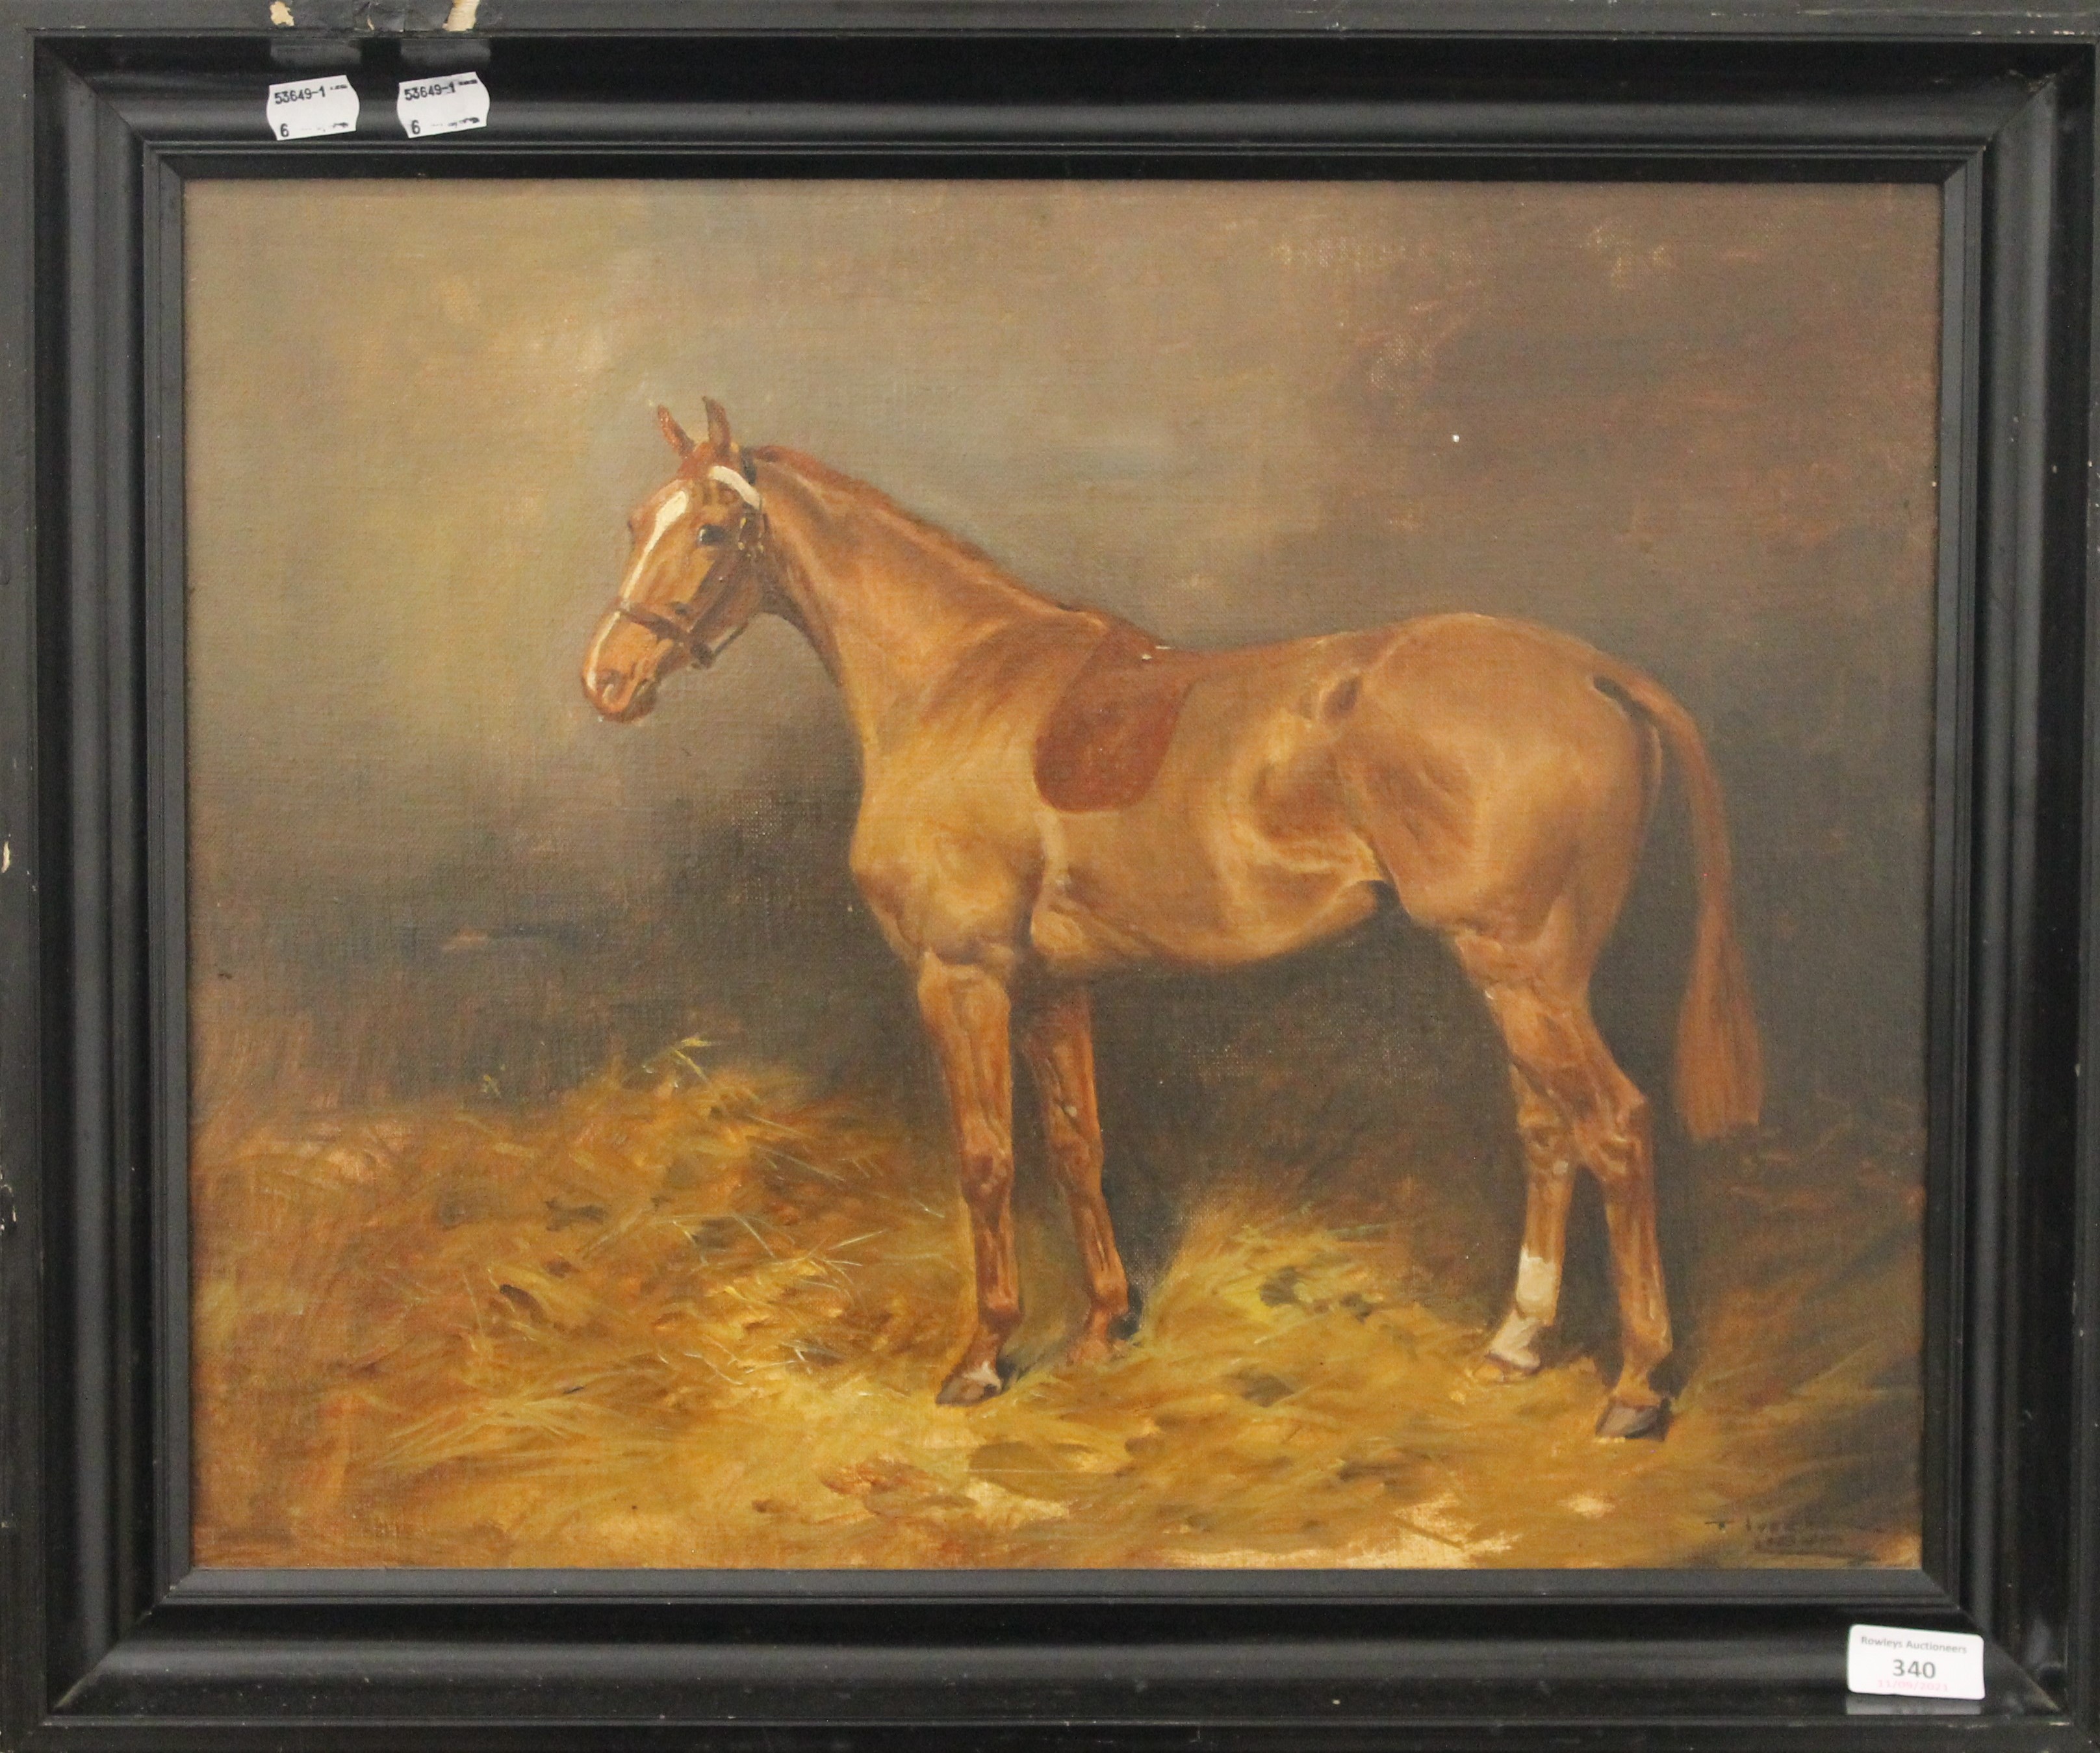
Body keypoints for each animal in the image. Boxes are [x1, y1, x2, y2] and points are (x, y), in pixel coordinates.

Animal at [583, 405, 1763, 1444]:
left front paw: (983, 1356)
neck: (956, 681)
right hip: (1526, 975)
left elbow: (985, 1159)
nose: (608, 680)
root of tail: (1593, 673)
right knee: (1548, 1132)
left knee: (1614, 1126)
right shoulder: (1050, 984)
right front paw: (1104, 1325)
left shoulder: (962, 975)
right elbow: (1077, 1143)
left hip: (1521, 971)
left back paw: (1637, 1384)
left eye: (712, 530)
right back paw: (1519, 1342)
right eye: (635, 520)